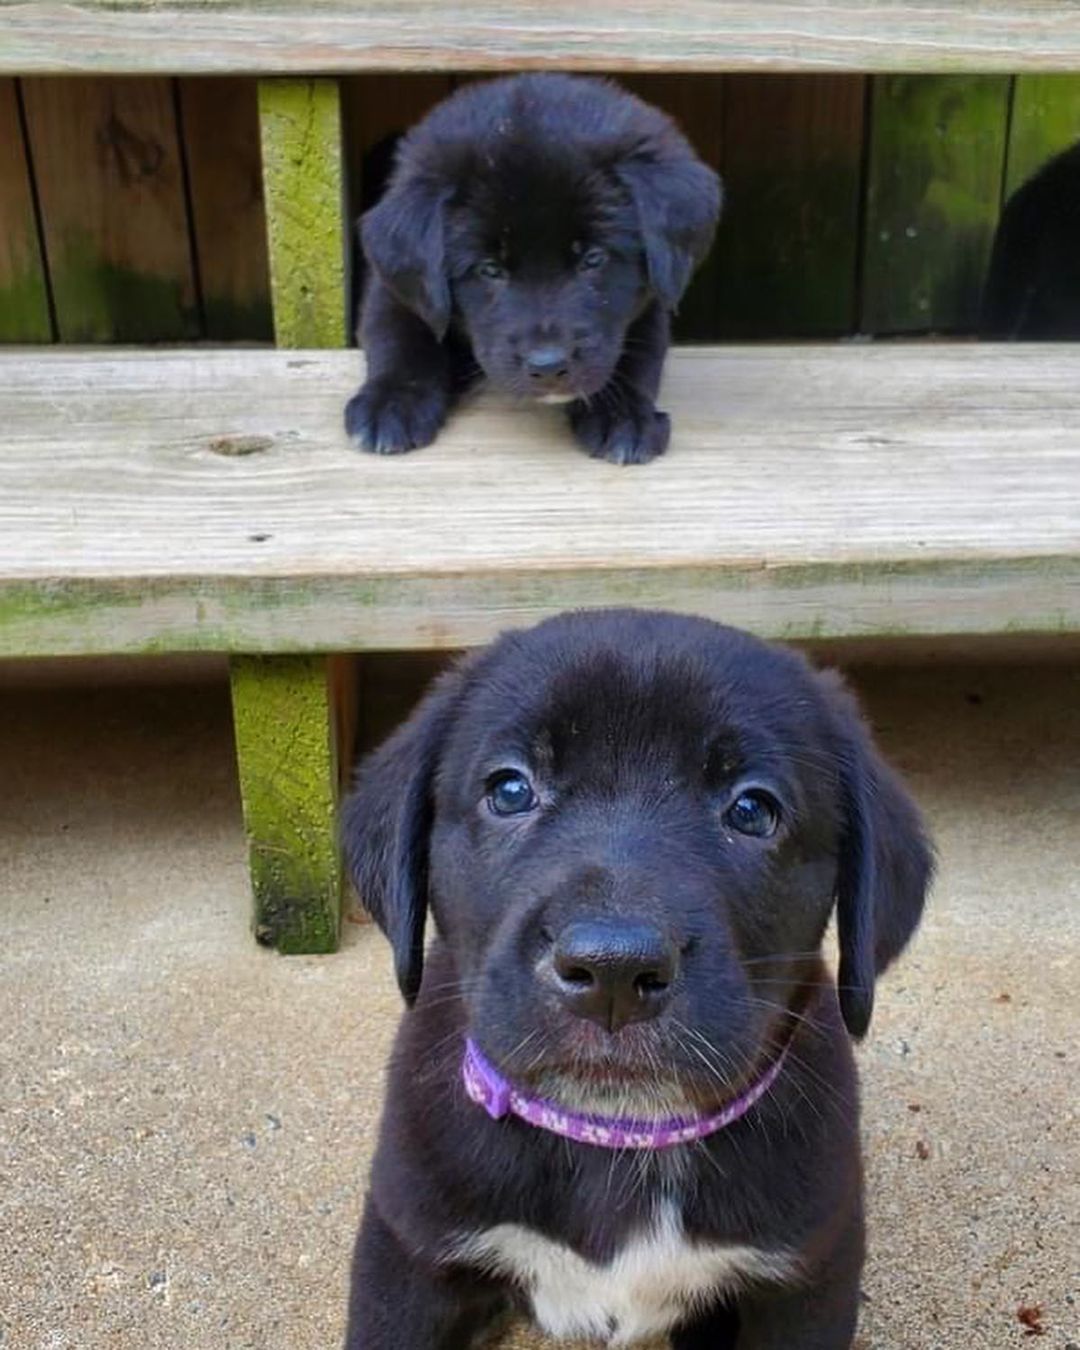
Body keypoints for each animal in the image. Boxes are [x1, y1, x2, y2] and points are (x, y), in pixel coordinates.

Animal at [341, 612, 934, 1350]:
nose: (612, 971)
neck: (620, 1134)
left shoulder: (809, 1278)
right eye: (510, 790)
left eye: (752, 811)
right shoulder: (406, 1255)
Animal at [345, 78, 718, 472]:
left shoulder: (649, 304)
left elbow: (640, 353)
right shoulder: (394, 291)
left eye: (593, 258)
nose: (549, 367)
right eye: (490, 269)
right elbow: (399, 335)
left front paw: (625, 416)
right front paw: (392, 402)